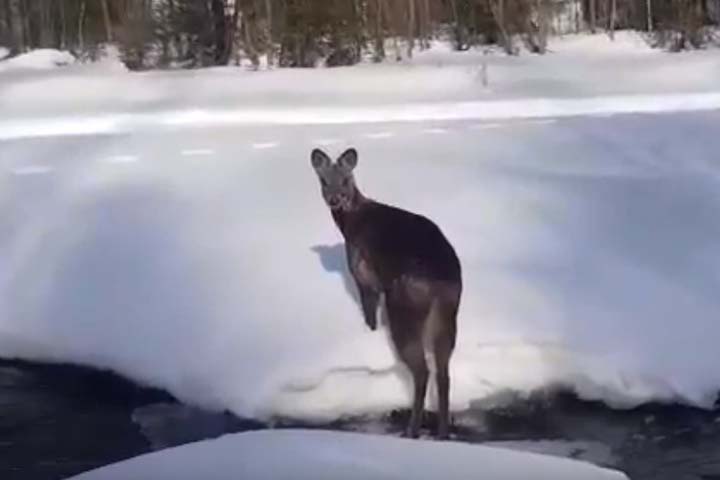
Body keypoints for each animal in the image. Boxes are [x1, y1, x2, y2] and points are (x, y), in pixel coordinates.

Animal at [310, 148, 462, 440]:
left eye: (345, 179)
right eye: (324, 181)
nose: (335, 199)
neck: (350, 223)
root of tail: (441, 282)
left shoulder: (364, 275)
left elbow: (369, 315)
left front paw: (369, 333)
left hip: (404, 306)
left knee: (422, 370)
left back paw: (411, 431)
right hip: (448, 313)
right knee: (443, 371)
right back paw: (441, 434)